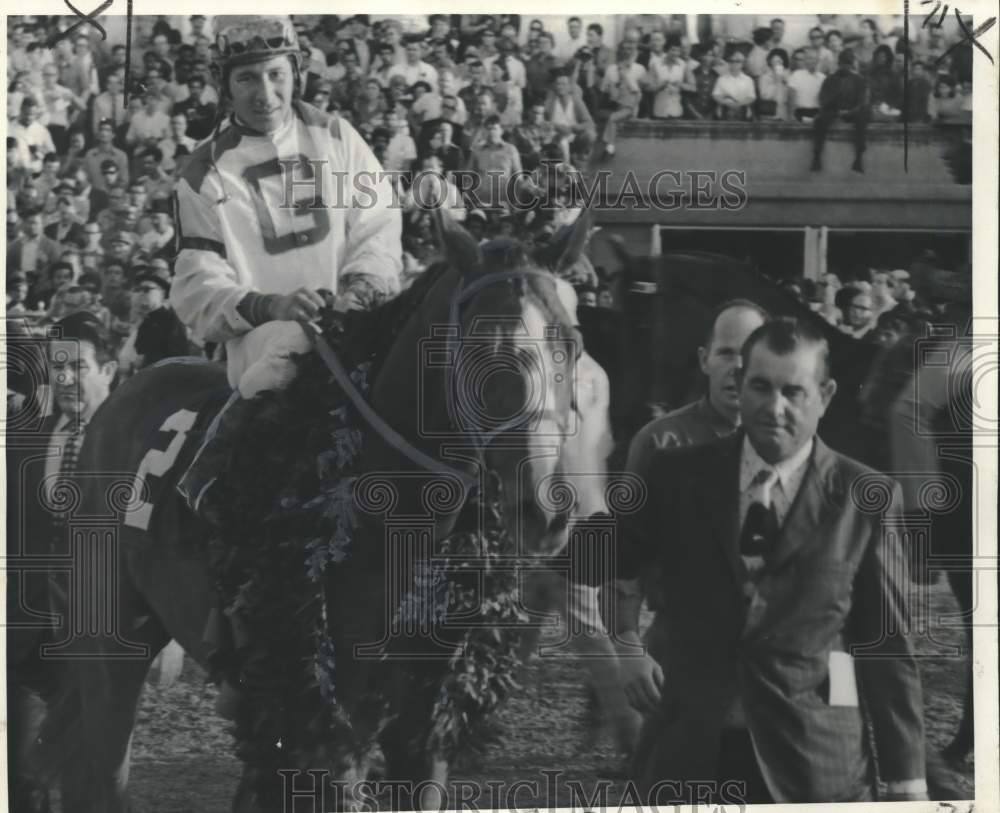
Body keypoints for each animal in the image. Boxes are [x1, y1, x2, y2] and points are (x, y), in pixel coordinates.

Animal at [31, 209, 620, 812]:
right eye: (484, 348)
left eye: (572, 344)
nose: (543, 510)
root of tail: (118, 396)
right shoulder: (335, 718)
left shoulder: (430, 720)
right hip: (111, 644)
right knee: (102, 771)